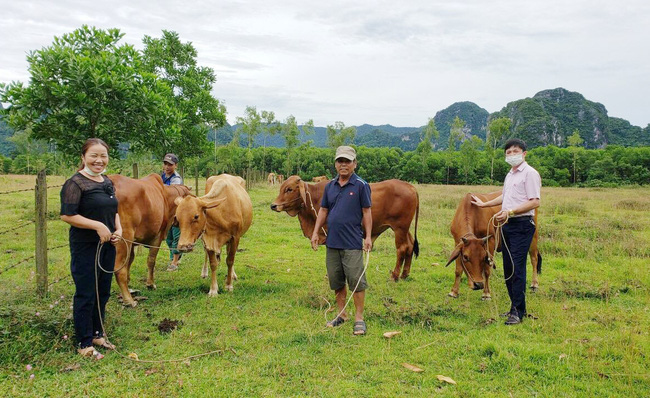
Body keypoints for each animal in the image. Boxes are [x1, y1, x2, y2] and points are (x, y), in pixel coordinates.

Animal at [107, 173, 190, 306]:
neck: (166, 196)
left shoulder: (133, 242)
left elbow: (130, 261)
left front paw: (129, 284)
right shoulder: (157, 237)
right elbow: (151, 261)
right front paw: (150, 284)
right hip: (123, 237)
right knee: (118, 269)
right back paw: (129, 300)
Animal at [270, 176, 418, 282]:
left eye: (289, 189)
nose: (273, 205)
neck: (315, 197)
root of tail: (410, 186)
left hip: (399, 228)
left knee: (402, 248)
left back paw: (395, 275)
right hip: (405, 229)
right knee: (410, 245)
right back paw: (405, 274)